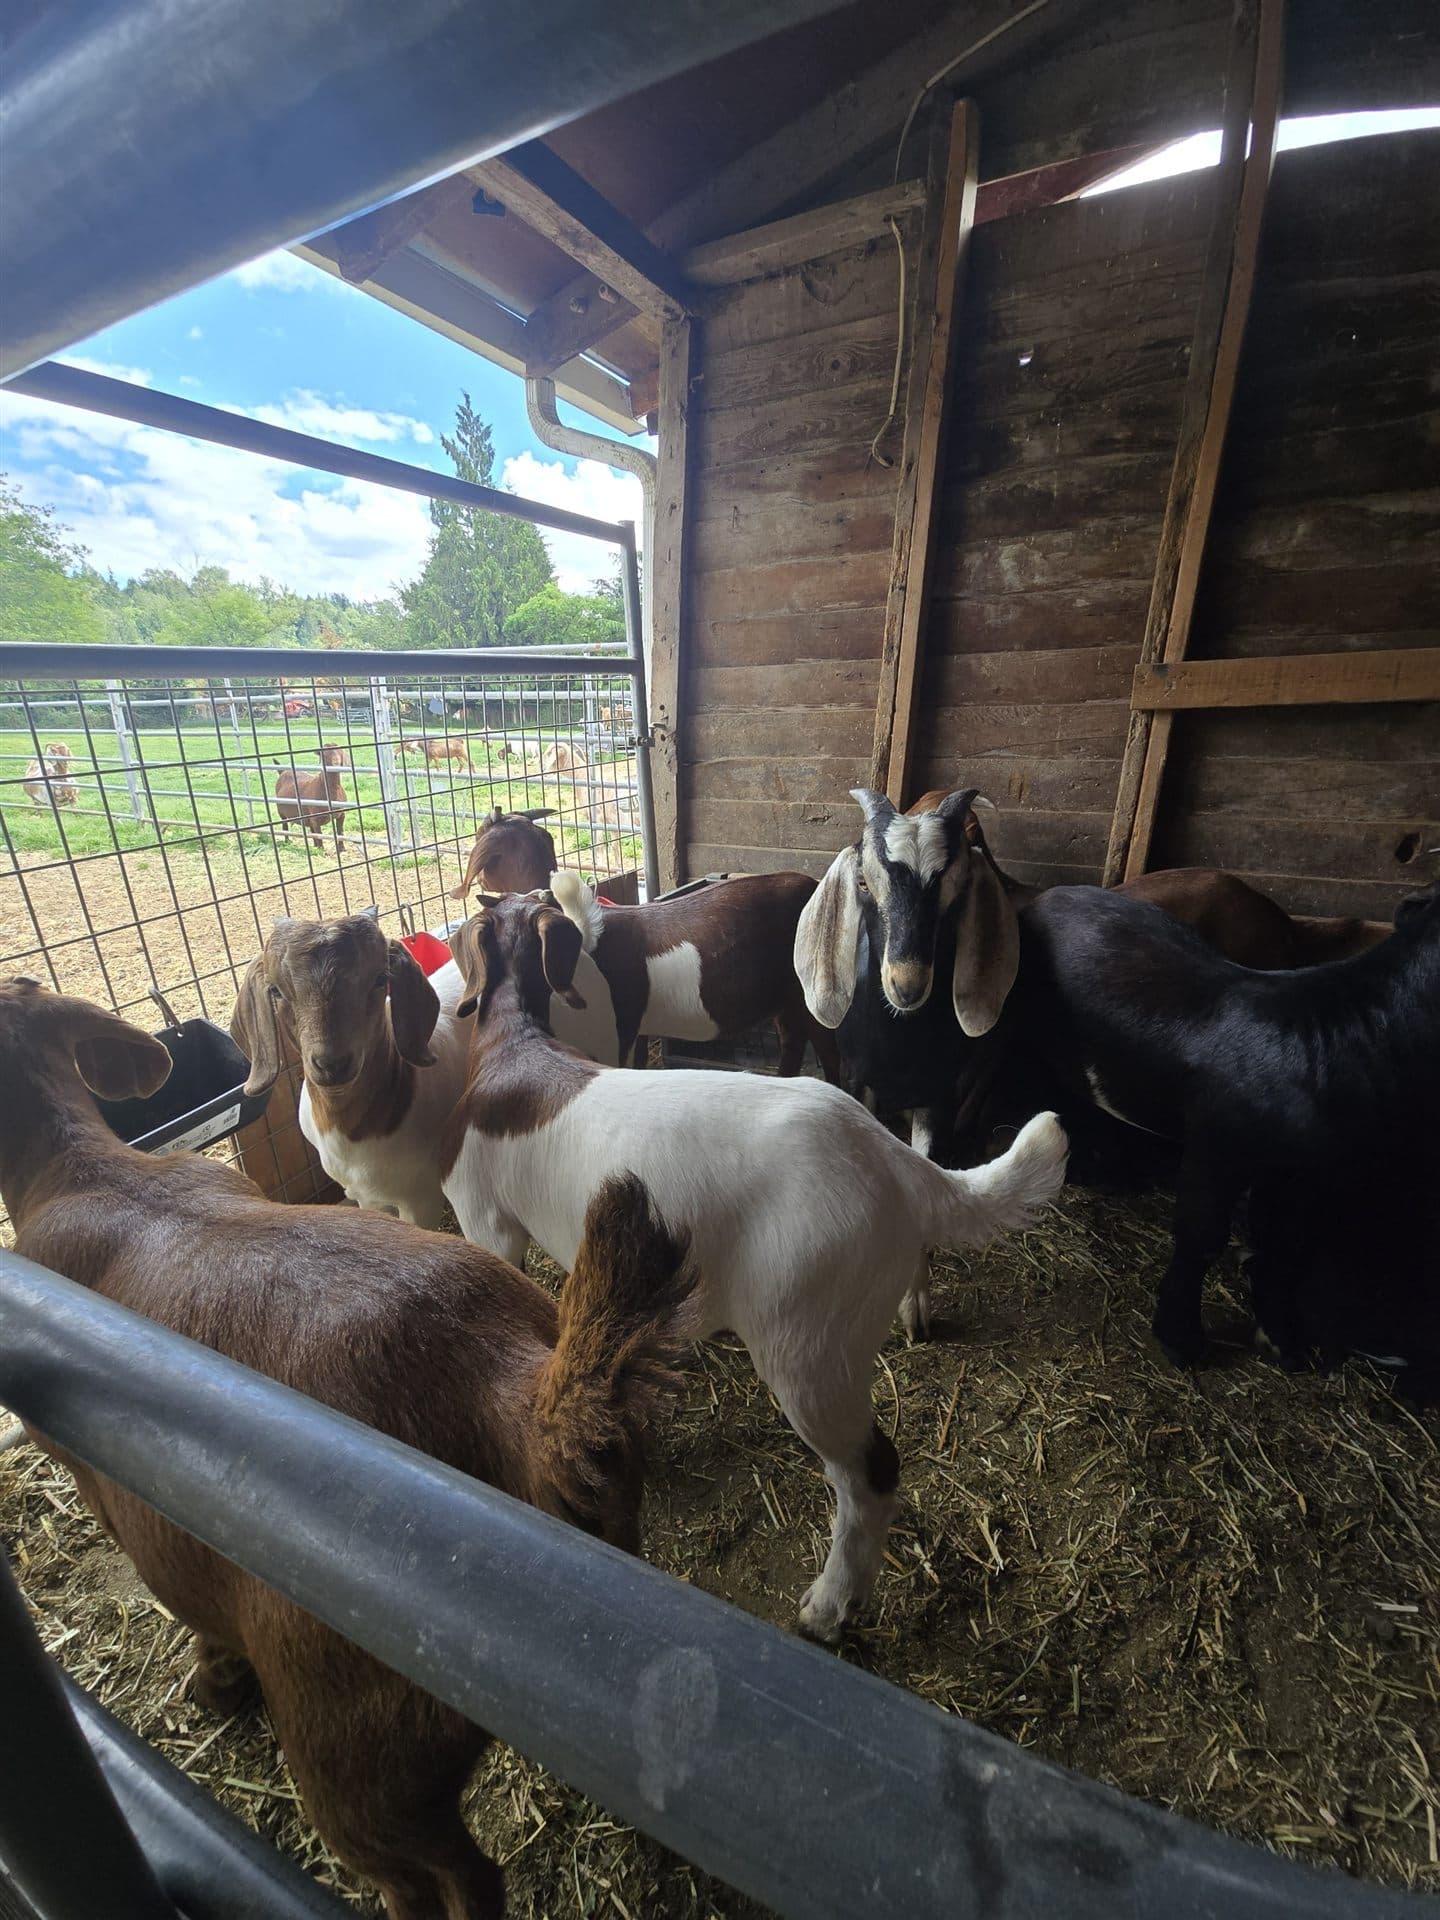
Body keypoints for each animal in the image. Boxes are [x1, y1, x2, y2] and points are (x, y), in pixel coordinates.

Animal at [439, 892, 1068, 1641]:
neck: (518, 1043)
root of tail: (888, 1159)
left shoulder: (484, 1216)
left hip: (808, 1341)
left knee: (870, 1470)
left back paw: (827, 1609)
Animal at [551, 869, 844, 1079]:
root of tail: (813, 885)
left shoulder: (617, 1033)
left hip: (811, 990)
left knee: (827, 1049)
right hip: (784, 1002)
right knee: (793, 1042)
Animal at [1015, 874, 1440, 1371]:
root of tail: (1050, 893)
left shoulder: (1298, 1174)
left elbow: (1285, 1243)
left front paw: (1282, 1342)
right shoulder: (1218, 1143)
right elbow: (1202, 1236)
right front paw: (1182, 1343)